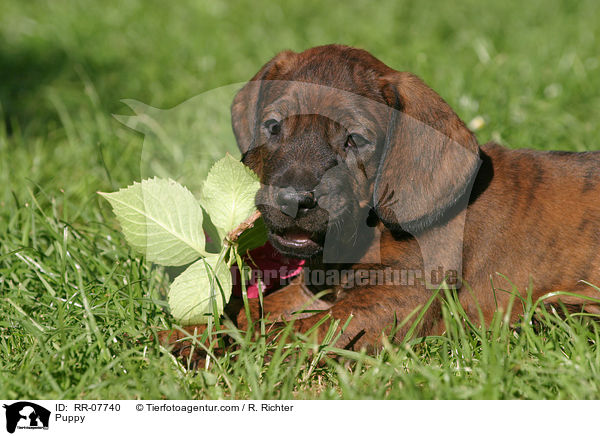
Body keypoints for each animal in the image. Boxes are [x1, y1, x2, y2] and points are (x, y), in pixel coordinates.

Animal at [159, 44, 600, 360]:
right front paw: (187, 333)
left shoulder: (385, 304)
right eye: (272, 126)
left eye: (355, 139)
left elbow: (285, 332)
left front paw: (224, 348)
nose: (292, 200)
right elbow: (251, 309)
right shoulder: (314, 290)